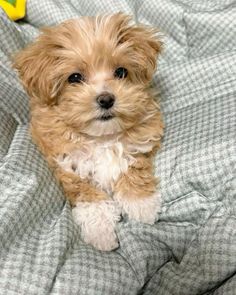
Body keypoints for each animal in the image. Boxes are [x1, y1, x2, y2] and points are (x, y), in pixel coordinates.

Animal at [13, 13, 163, 250]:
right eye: (74, 78)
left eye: (121, 72)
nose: (106, 99)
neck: (101, 137)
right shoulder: (68, 164)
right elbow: (89, 195)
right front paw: (100, 229)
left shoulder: (138, 145)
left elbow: (133, 168)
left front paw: (142, 203)